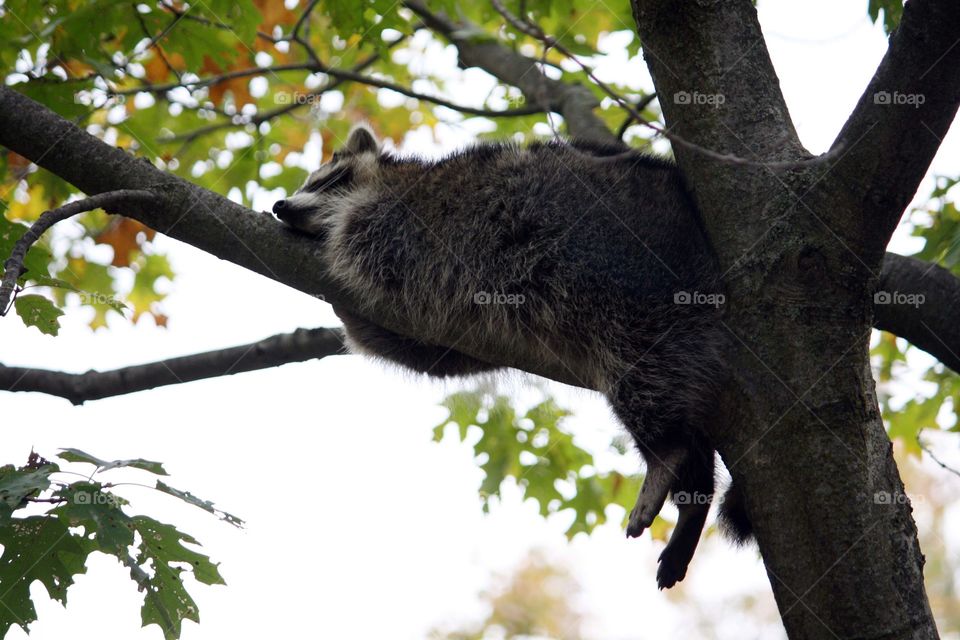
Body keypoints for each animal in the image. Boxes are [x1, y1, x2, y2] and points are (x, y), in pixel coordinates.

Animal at [274, 122, 748, 588]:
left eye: (328, 181)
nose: (280, 205)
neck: (392, 180)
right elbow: (434, 355)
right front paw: (347, 316)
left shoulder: (407, 222)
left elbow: (373, 256)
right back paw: (694, 497)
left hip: (636, 281)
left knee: (645, 371)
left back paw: (666, 452)